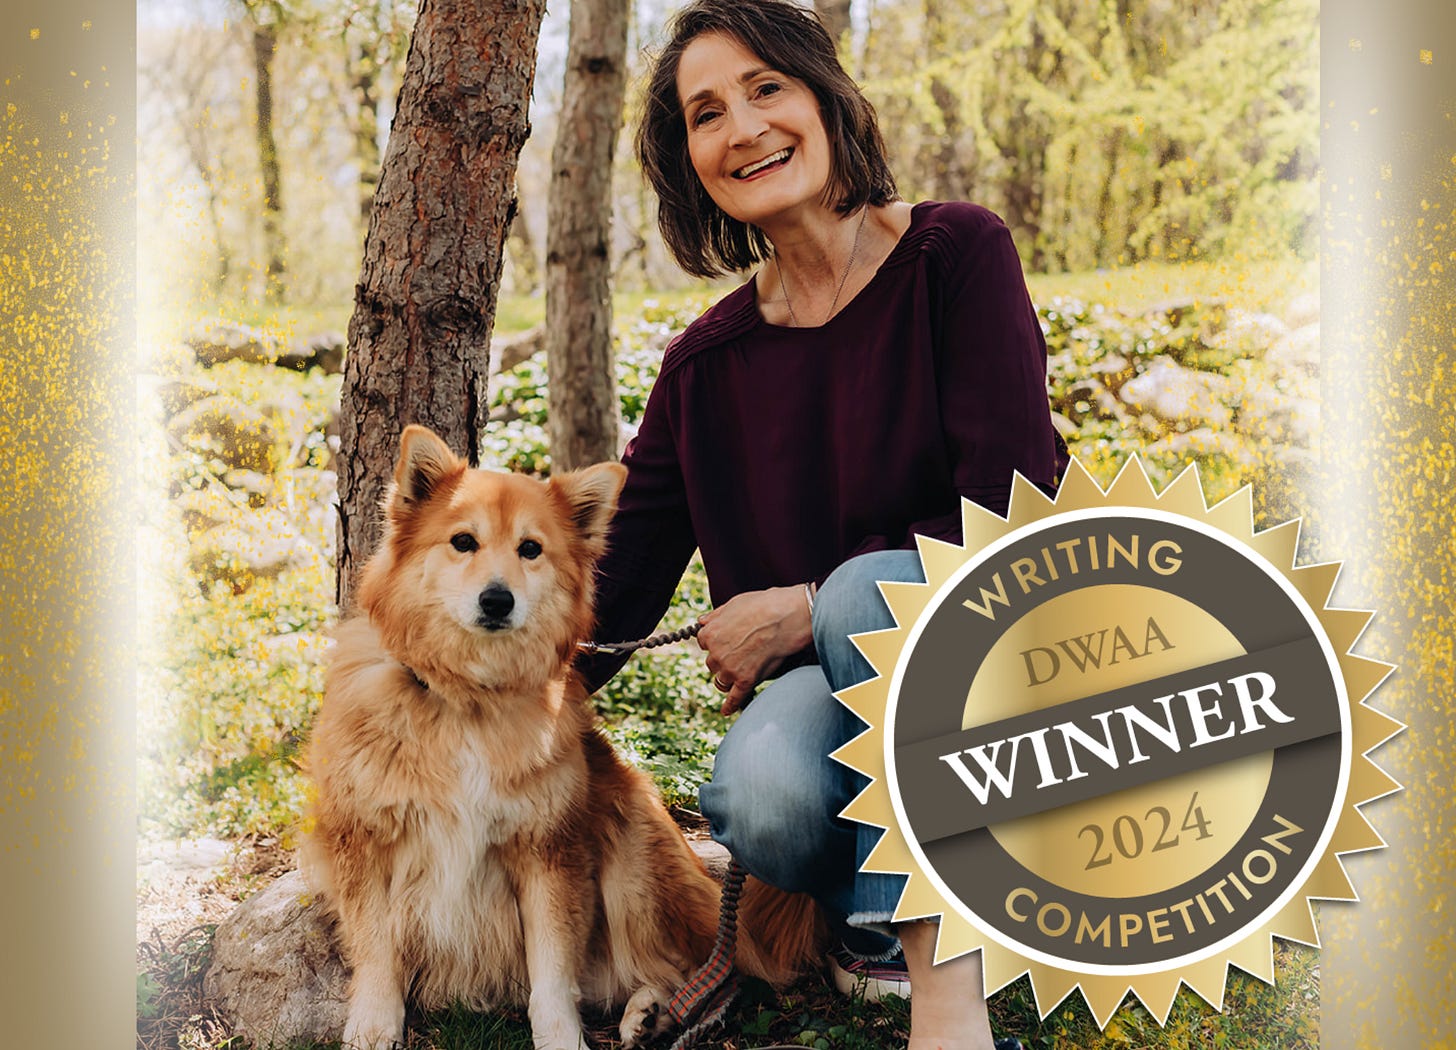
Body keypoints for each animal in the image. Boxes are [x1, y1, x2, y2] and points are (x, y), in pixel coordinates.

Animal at [302, 425, 821, 1048]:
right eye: (462, 542)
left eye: (531, 549)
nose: (497, 600)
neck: (469, 697)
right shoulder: (365, 842)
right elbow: (377, 950)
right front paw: (374, 1024)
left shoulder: (549, 852)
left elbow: (550, 971)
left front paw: (561, 1038)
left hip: (631, 857)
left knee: (694, 969)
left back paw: (657, 1010)